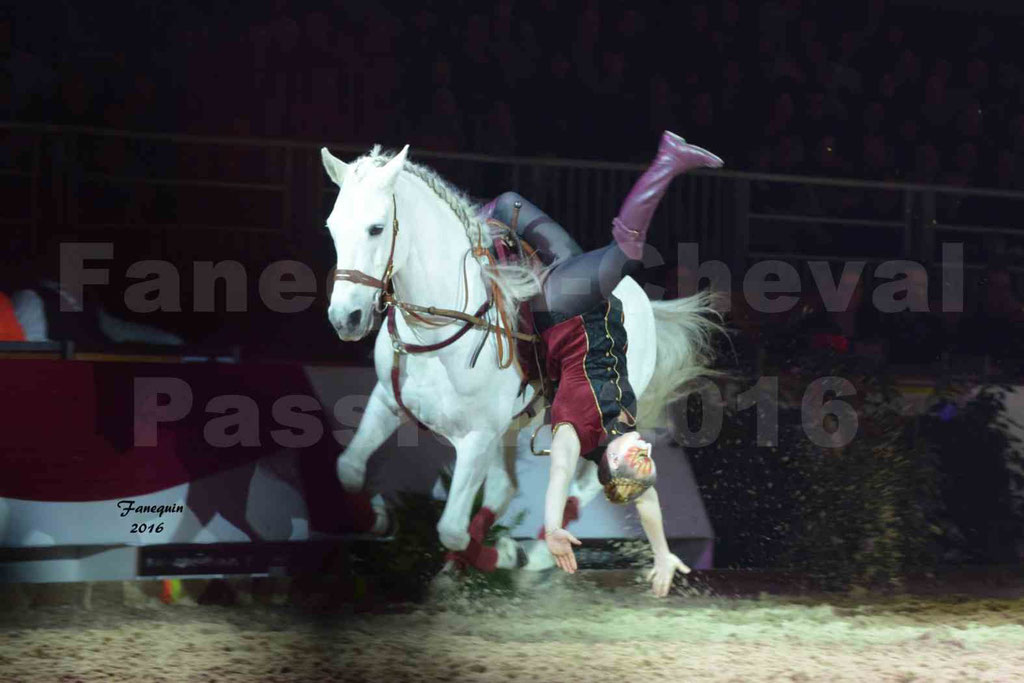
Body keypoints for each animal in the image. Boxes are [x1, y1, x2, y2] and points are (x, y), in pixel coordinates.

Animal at [323, 143, 716, 573]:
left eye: (376, 228)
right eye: (332, 227)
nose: (345, 318)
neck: (442, 332)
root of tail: (641, 298)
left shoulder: (476, 439)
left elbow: (451, 528)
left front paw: (507, 555)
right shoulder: (387, 402)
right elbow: (347, 469)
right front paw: (379, 517)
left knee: (579, 486)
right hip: (509, 427)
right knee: (505, 487)